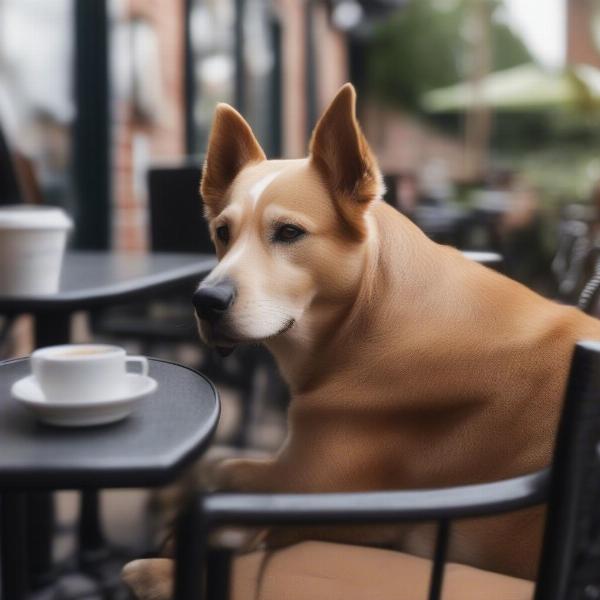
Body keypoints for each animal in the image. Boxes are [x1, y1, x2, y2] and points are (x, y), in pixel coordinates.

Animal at [122, 84, 600, 600]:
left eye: (288, 232)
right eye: (222, 233)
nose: (205, 301)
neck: (370, 314)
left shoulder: (311, 489)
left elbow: (224, 474)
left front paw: (167, 555)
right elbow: (218, 467)